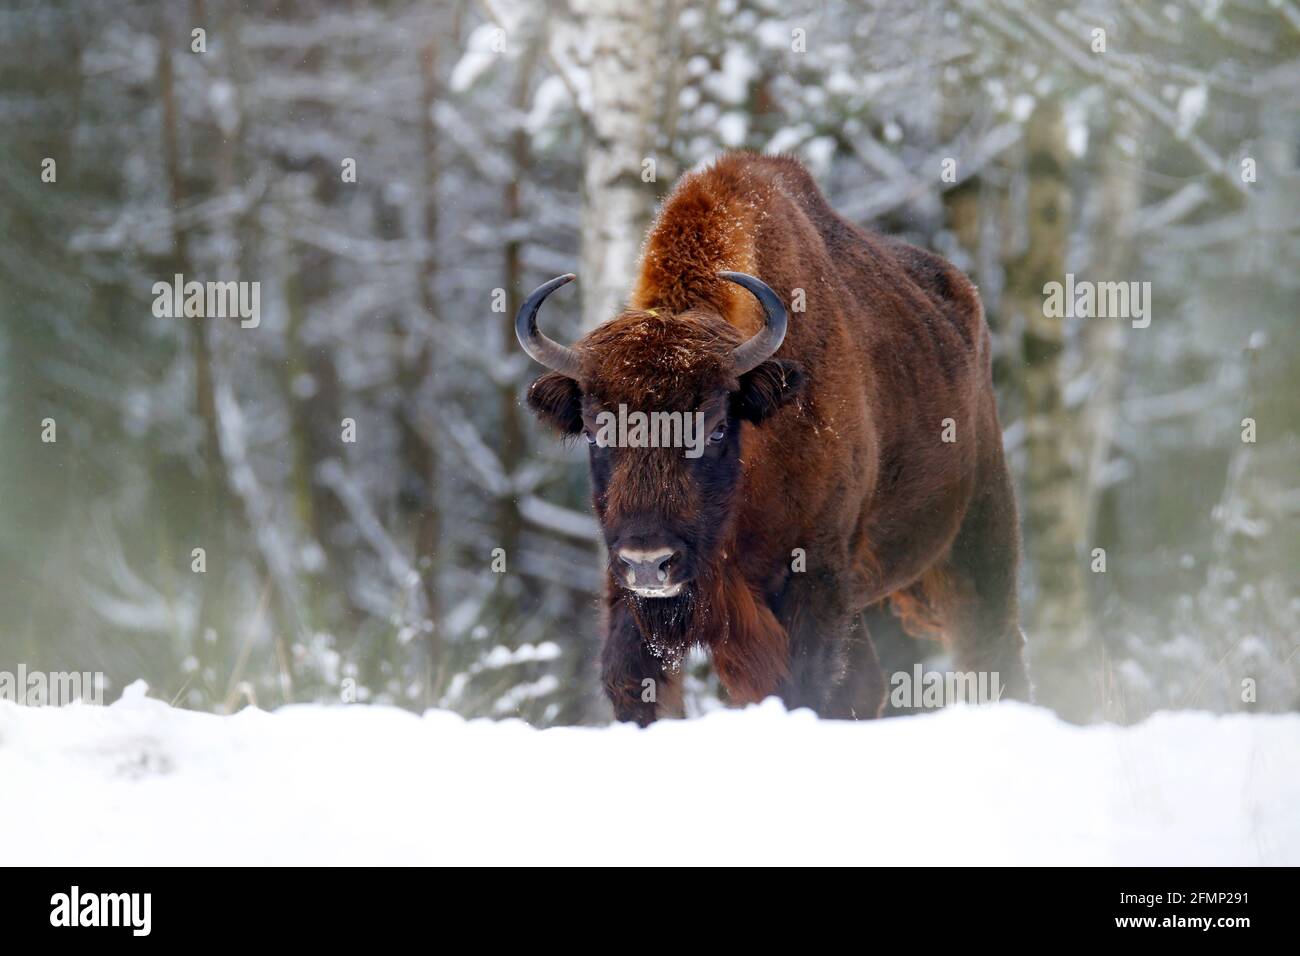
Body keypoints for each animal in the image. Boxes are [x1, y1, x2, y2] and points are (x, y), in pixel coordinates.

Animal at [514, 155, 1024, 723]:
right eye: (597, 428)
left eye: (715, 424)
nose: (650, 562)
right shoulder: (624, 586)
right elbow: (630, 679)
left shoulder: (814, 577)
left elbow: (807, 687)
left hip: (978, 535)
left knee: (993, 649)